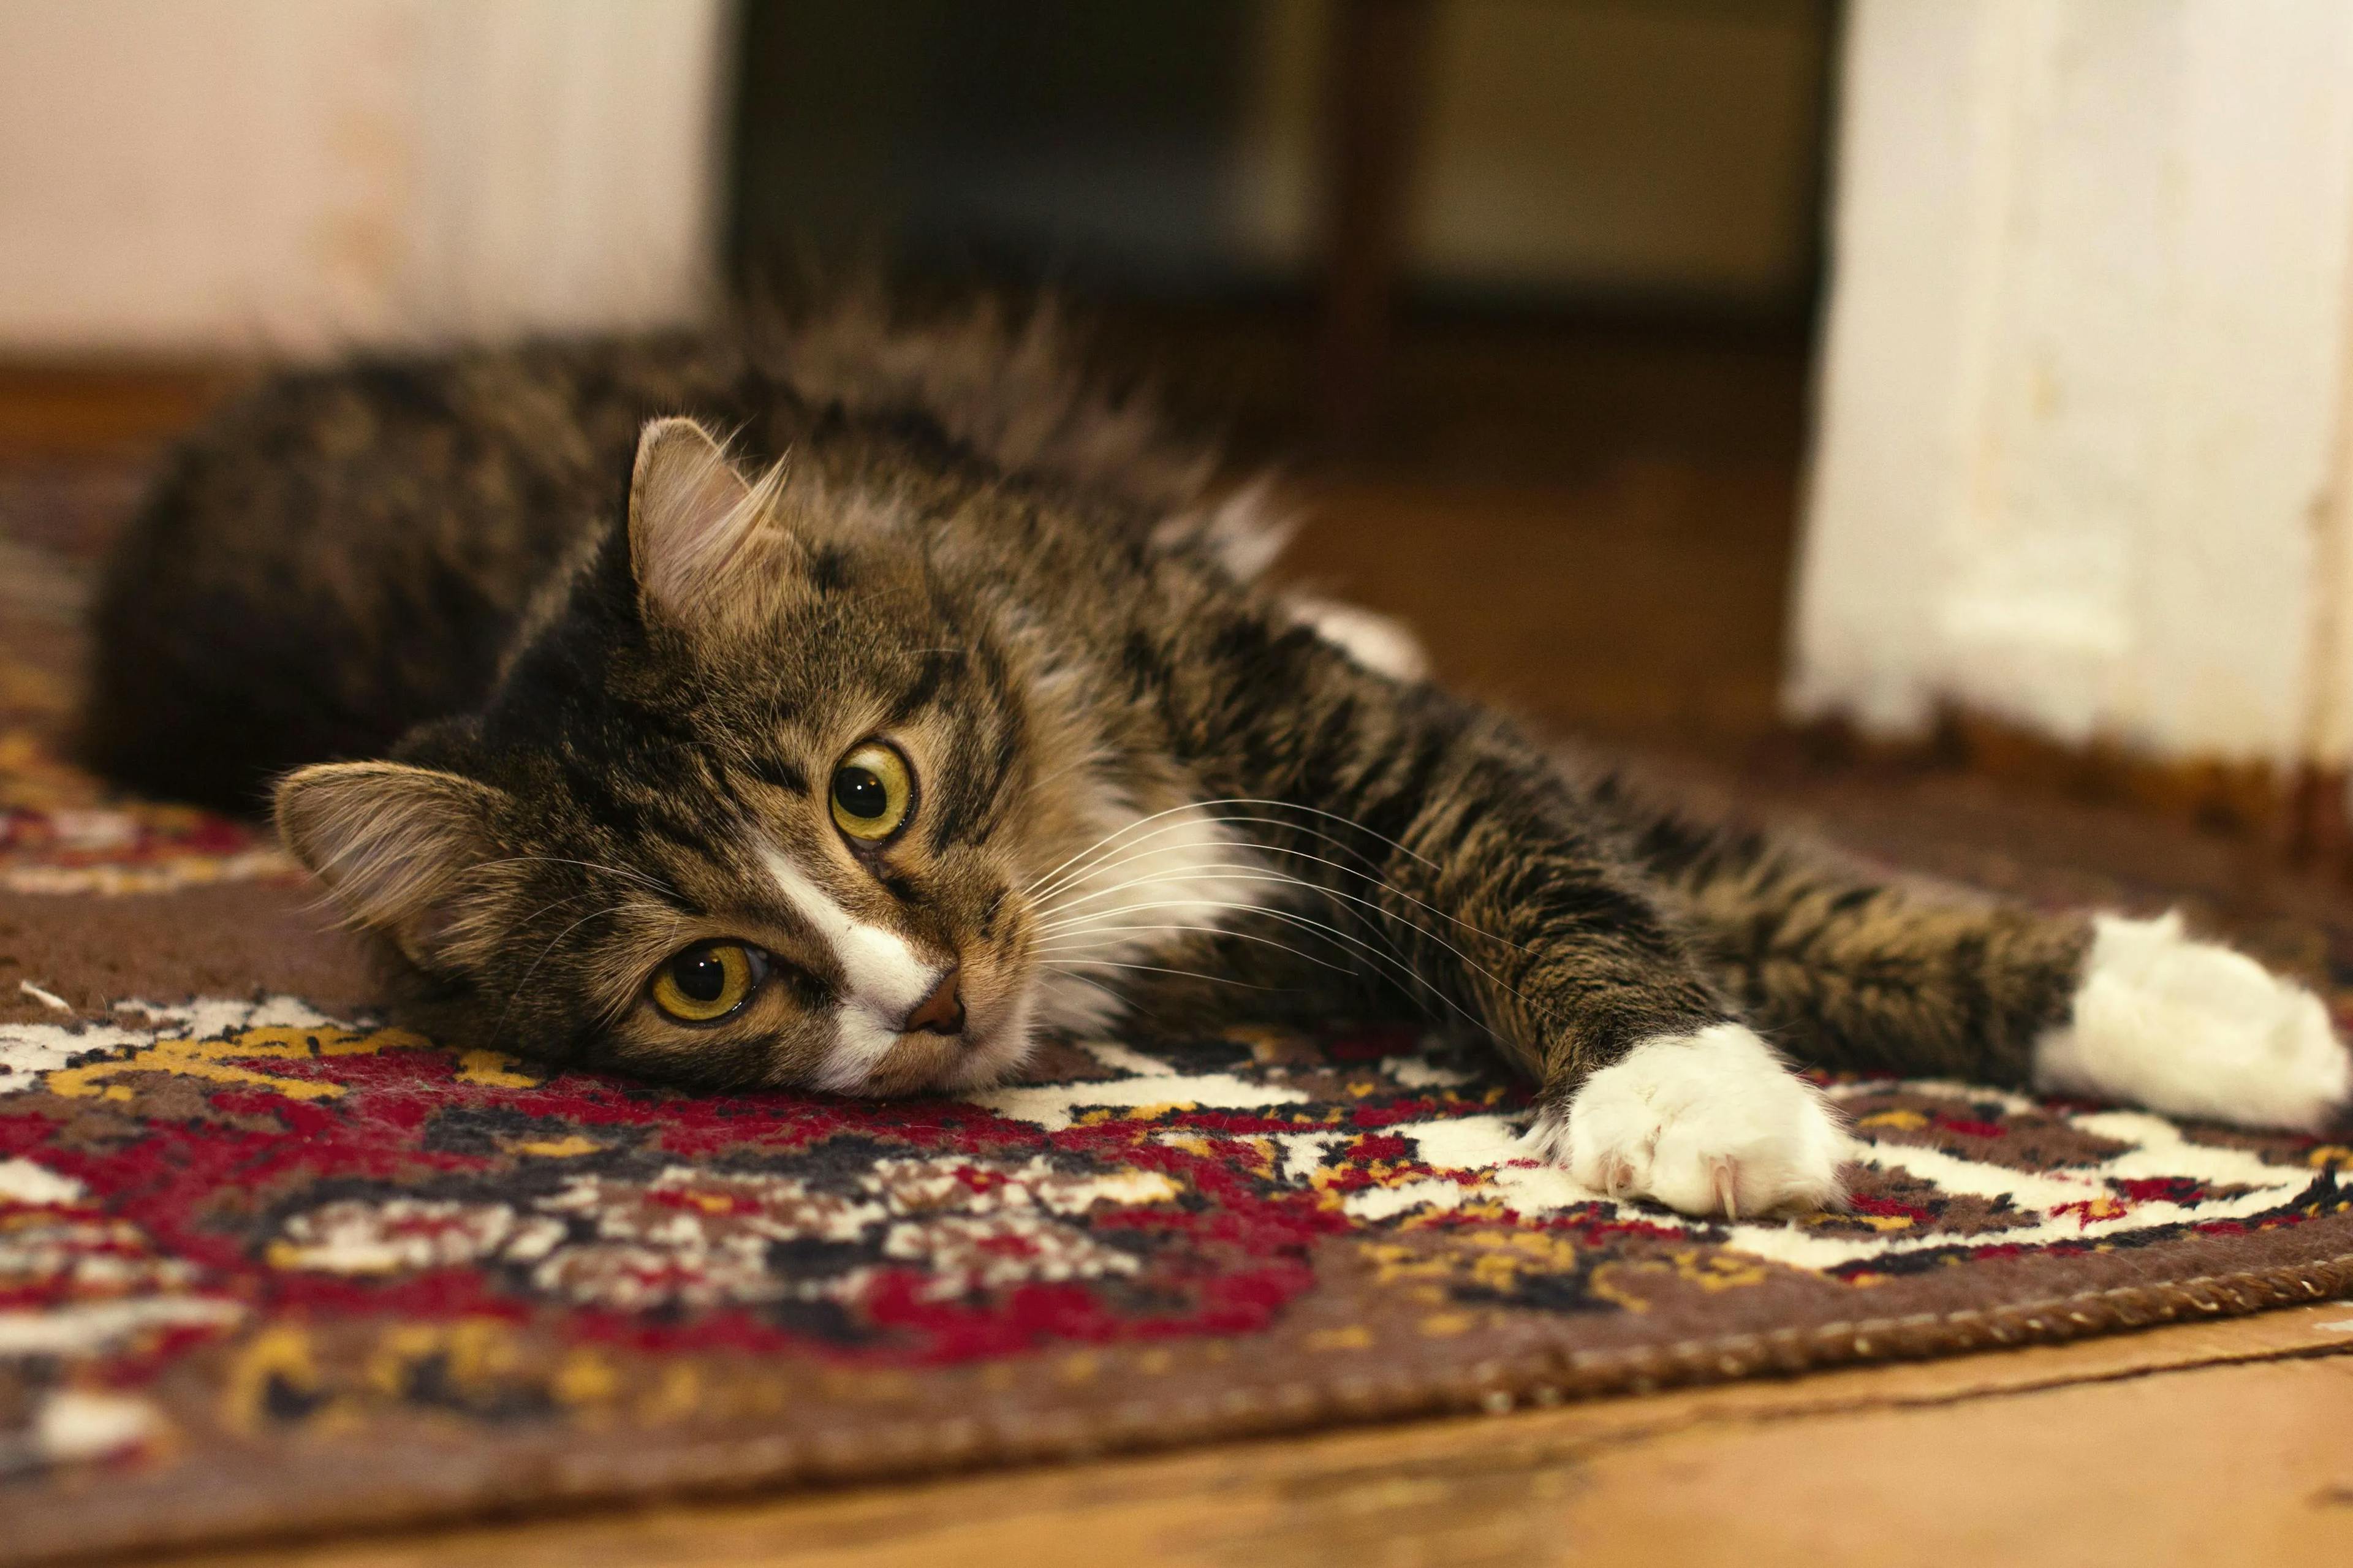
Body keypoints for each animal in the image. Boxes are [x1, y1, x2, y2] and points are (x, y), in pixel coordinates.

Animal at [83, 298, 2343, 1214]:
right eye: (707, 977)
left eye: (869, 789)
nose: (930, 998)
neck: (1078, 820)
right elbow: (1728, 902)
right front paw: (1712, 1099)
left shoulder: (1387, 758)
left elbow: (1709, 885)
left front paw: (2233, 1020)